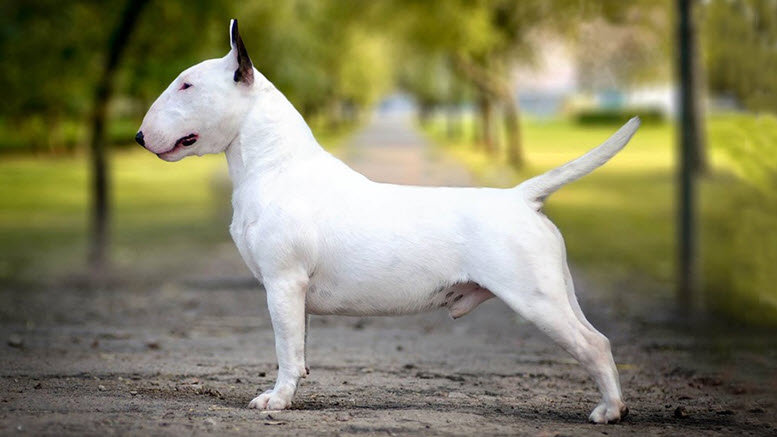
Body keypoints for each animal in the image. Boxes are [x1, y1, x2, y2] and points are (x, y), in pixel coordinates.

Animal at [136, 19, 640, 422]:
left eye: (186, 85)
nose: (139, 137)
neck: (275, 165)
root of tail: (520, 197)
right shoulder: (294, 294)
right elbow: (299, 348)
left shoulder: (283, 282)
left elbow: (284, 348)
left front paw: (276, 401)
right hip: (557, 290)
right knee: (598, 338)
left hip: (535, 297)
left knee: (593, 345)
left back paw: (609, 411)